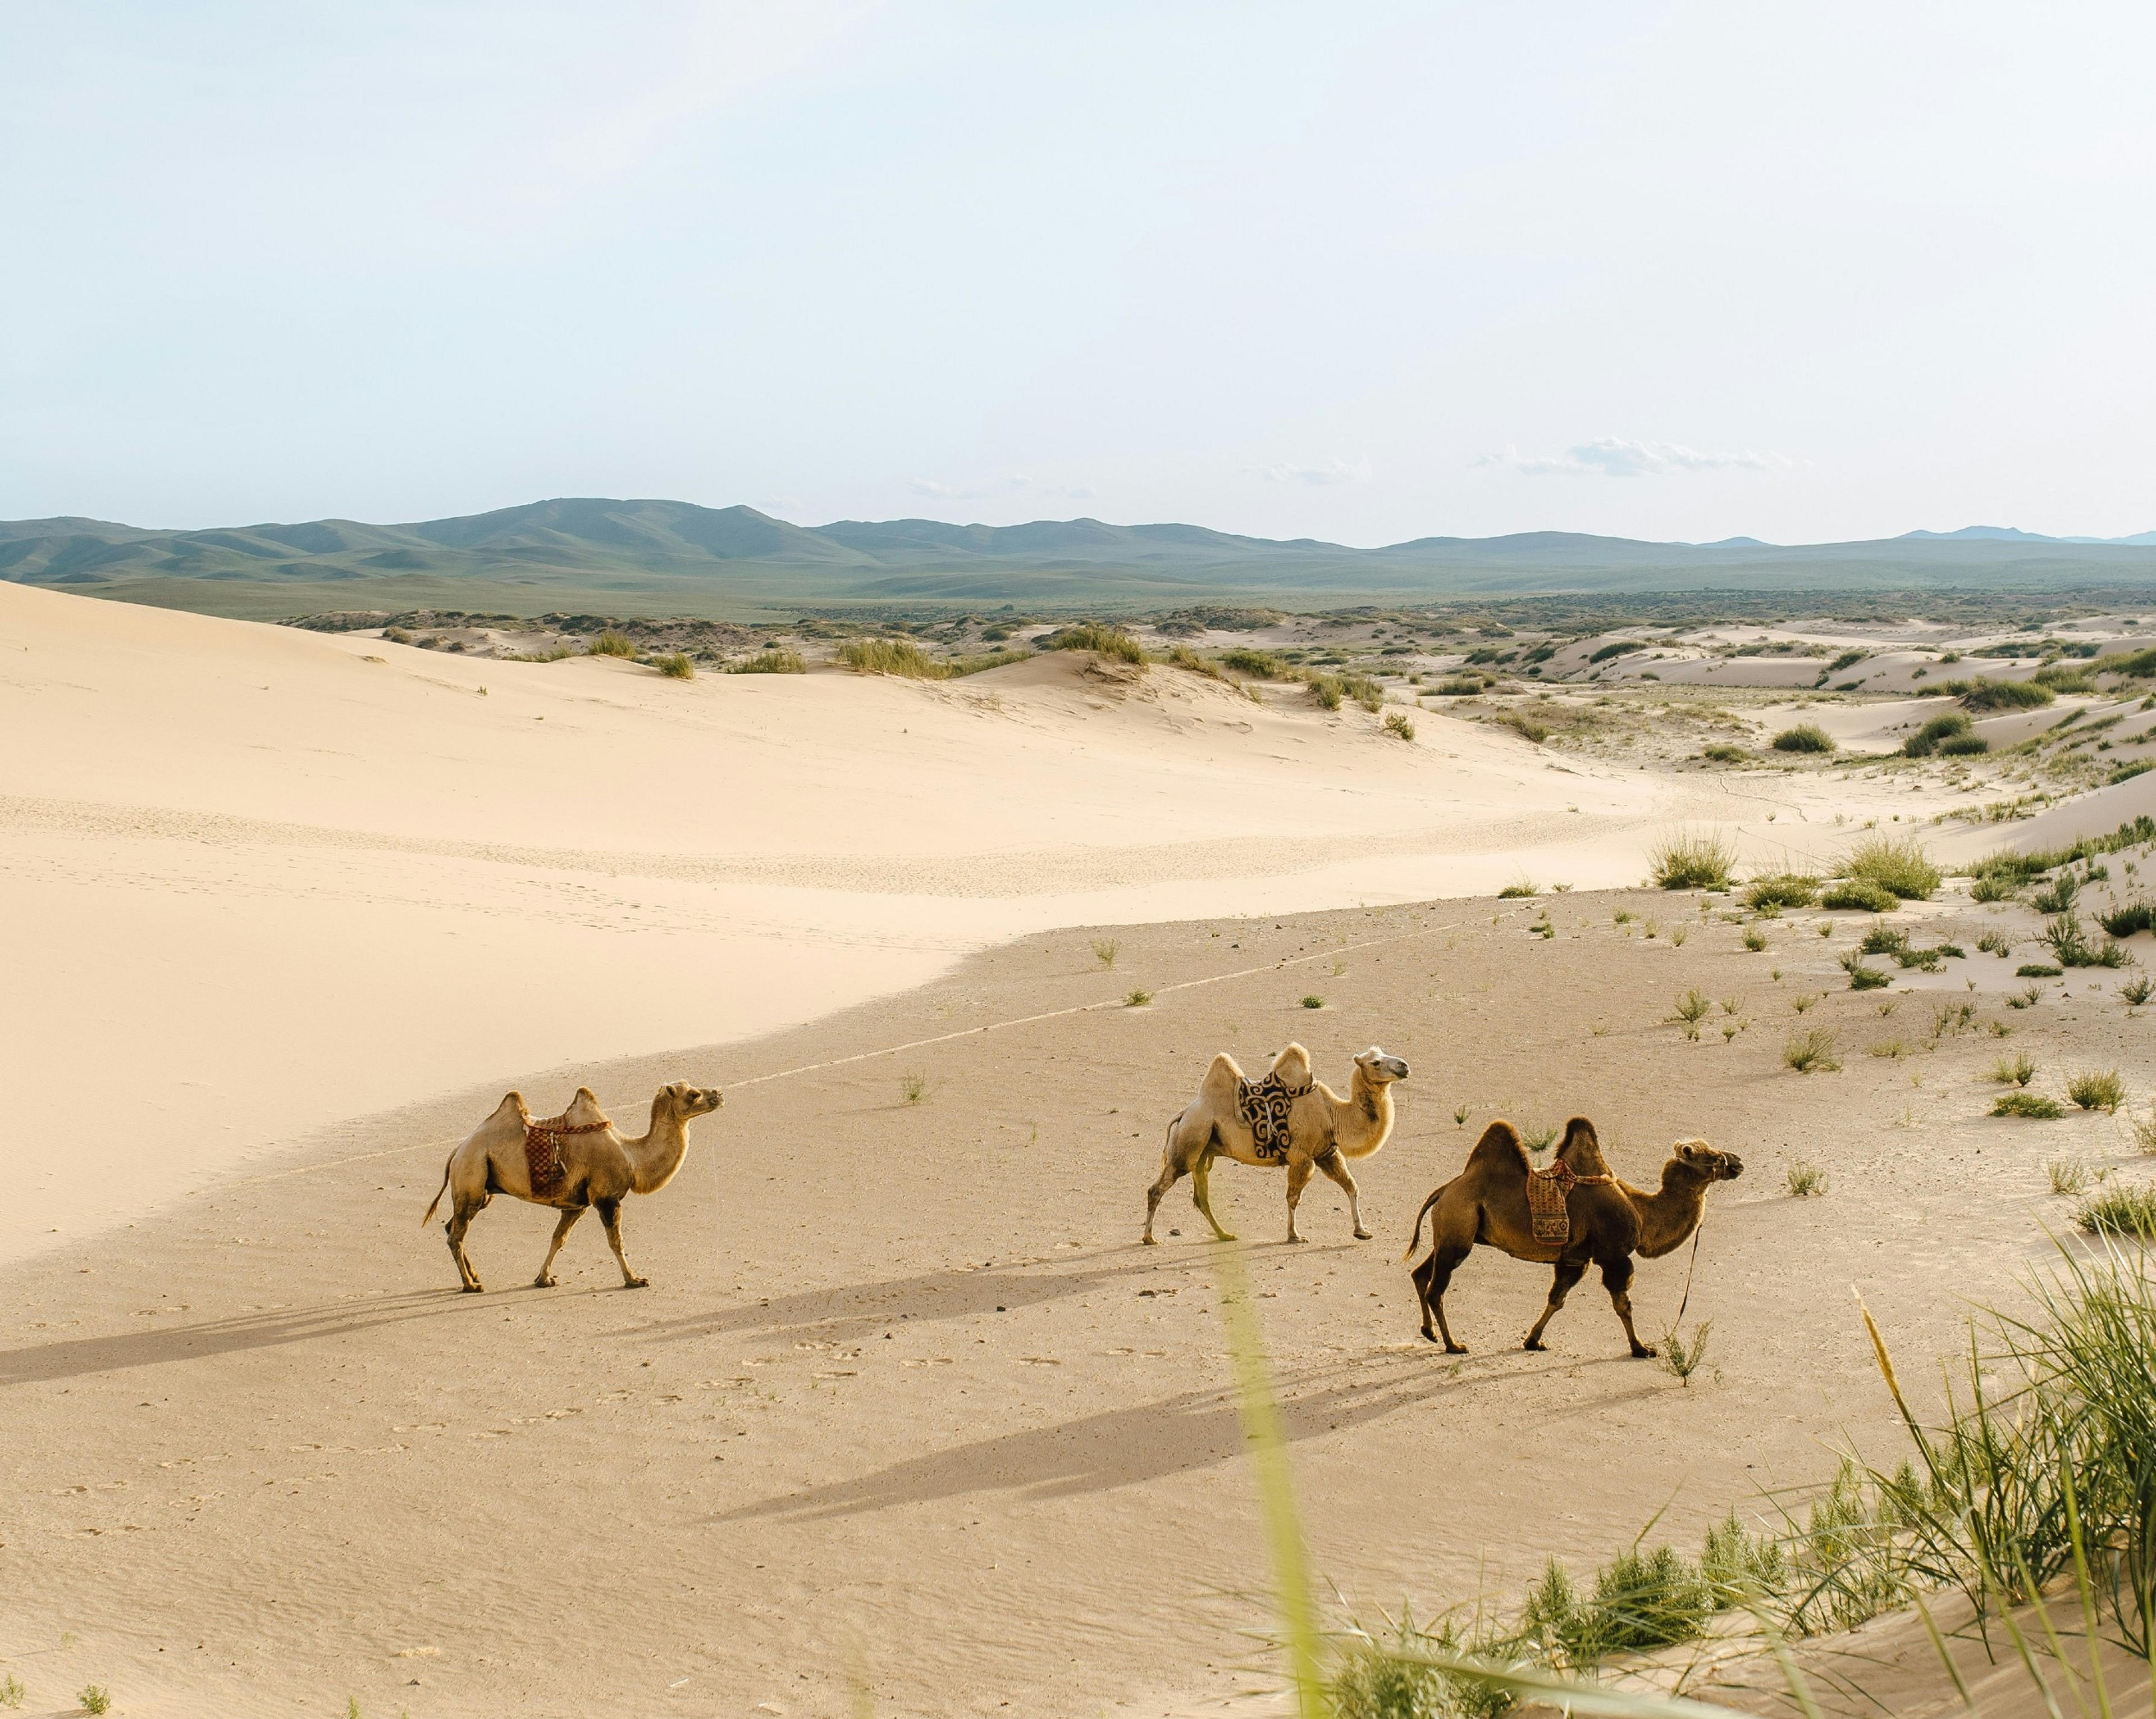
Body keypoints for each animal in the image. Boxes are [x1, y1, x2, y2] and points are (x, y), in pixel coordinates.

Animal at [421, 1081, 722, 1292]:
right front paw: (634, 1279)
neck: (631, 1158)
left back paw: (474, 1276)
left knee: (452, 1227)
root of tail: (457, 1151)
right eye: (693, 1094)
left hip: (480, 1187)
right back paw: (471, 1286)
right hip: (472, 1173)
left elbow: (558, 1239)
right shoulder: (606, 1198)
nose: (718, 1093)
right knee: (456, 1234)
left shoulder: (577, 1205)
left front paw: (543, 1279)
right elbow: (616, 1242)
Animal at [1143, 1043, 1410, 1245]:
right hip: (1190, 1142)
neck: (1333, 1114)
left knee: (1201, 1198)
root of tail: (1184, 1114)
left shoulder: (1327, 1153)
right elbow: (1293, 1198)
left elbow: (1351, 1187)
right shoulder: (1303, 1157)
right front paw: (1294, 1236)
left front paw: (1362, 1231)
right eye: (1375, 1063)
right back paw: (1149, 1238)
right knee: (1157, 1189)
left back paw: (1225, 1235)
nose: (1404, 1066)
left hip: (1203, 1153)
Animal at [1402, 1119, 1741, 1357]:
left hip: (1453, 1234)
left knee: (1421, 1274)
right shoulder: (1613, 1256)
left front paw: (1533, 1341)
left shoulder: (1576, 1258)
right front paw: (1641, 1349)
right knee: (1436, 1290)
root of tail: (1444, 1190)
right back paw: (1453, 1345)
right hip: (1458, 1230)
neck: (1642, 1211)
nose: (1737, 1161)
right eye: (1711, 1156)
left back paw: (1430, 1332)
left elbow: (1557, 1299)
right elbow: (1623, 1305)